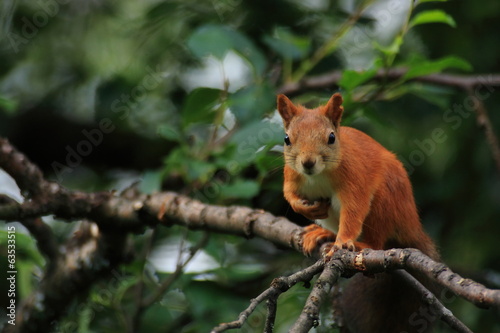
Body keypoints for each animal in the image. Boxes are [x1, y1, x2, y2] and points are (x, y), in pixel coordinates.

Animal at [280, 92, 440, 332]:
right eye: (287, 139)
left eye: (331, 137)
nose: (308, 163)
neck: (318, 175)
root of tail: (410, 222)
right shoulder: (291, 176)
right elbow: (289, 195)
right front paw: (308, 208)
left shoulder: (355, 180)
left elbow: (354, 210)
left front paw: (342, 242)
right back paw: (320, 233)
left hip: (384, 203)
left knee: (377, 242)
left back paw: (361, 244)